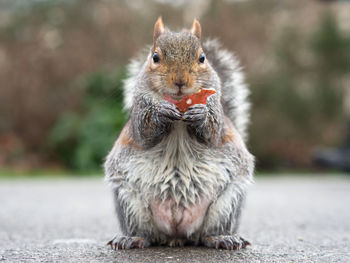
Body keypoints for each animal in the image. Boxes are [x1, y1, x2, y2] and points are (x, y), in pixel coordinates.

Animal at [104, 17, 254, 251]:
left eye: (202, 58)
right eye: (155, 57)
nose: (180, 81)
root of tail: (177, 236)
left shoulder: (216, 112)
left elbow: (213, 133)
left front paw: (200, 115)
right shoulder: (139, 111)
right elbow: (143, 133)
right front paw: (161, 112)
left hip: (228, 202)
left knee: (208, 233)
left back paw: (222, 237)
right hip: (128, 200)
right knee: (146, 233)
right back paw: (132, 238)